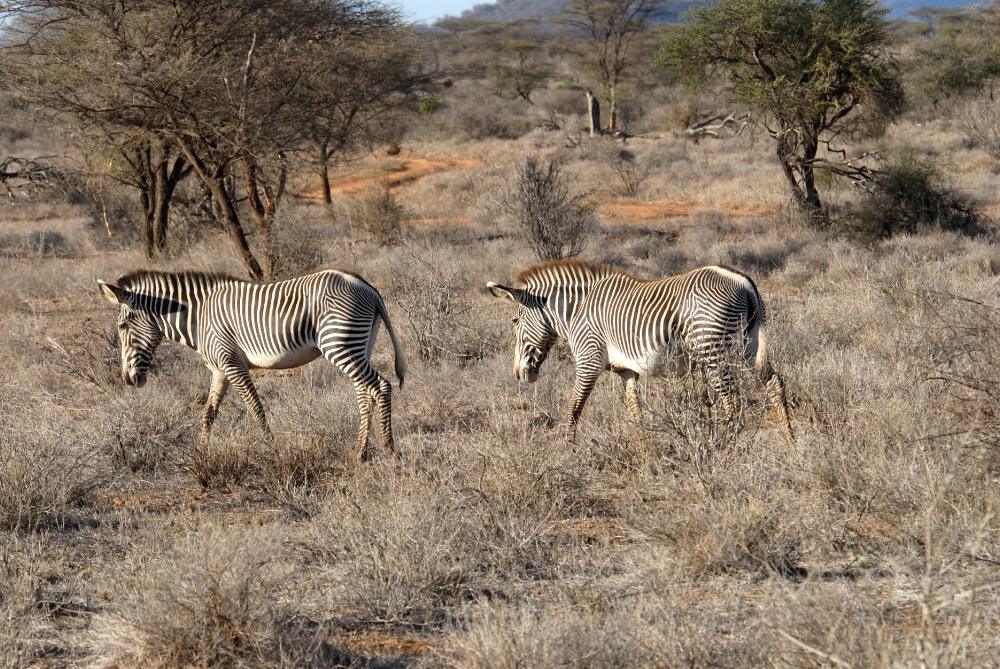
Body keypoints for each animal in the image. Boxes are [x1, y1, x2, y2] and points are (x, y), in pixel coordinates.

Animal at [95, 266, 404, 460]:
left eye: (123, 327)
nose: (128, 380)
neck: (199, 318)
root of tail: (366, 286)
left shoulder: (232, 364)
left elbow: (256, 409)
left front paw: (272, 451)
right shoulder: (219, 369)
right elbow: (208, 413)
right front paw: (201, 453)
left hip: (340, 343)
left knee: (381, 387)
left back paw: (389, 450)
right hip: (358, 344)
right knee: (364, 393)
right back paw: (360, 452)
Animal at [488, 260, 792, 444]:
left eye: (514, 321)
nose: (519, 374)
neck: (576, 312)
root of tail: (743, 280)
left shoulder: (588, 360)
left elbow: (574, 407)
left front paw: (567, 449)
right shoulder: (626, 370)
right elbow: (635, 412)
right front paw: (644, 448)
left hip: (713, 349)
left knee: (732, 398)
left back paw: (724, 443)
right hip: (749, 345)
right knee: (773, 383)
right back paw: (789, 437)